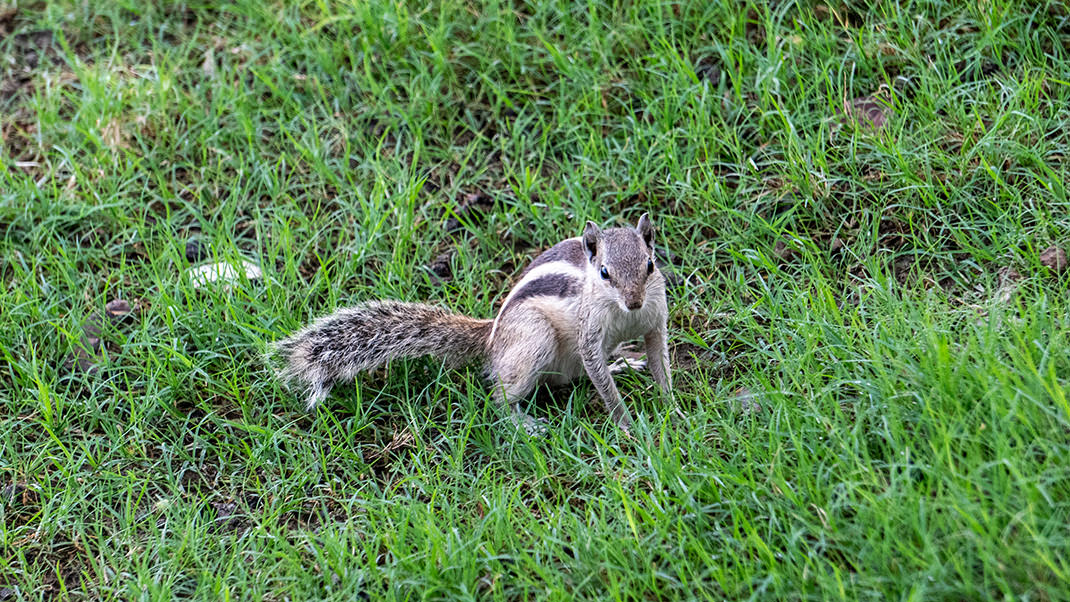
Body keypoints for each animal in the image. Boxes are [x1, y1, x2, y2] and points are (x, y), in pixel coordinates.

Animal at [271, 213, 671, 436]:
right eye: (604, 273)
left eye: (650, 264)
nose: (634, 301)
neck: (626, 314)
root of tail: (491, 338)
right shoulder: (589, 333)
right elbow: (598, 374)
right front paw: (626, 424)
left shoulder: (656, 320)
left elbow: (658, 360)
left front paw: (670, 404)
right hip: (534, 340)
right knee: (499, 397)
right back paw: (524, 424)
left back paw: (622, 362)